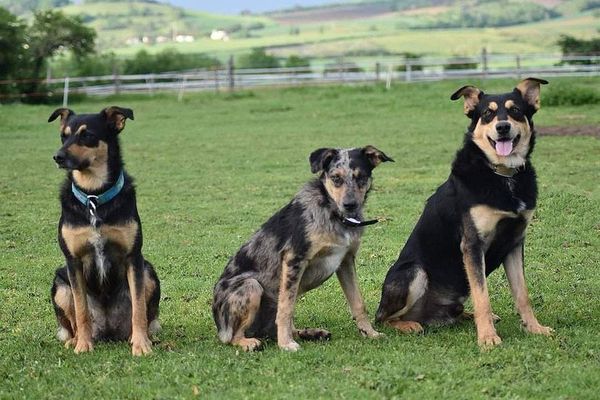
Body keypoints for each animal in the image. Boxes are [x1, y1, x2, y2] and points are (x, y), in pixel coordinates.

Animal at [212, 146, 394, 350]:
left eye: (361, 176)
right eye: (336, 177)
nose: (350, 205)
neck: (332, 213)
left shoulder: (345, 261)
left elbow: (358, 303)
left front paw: (370, 333)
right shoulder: (294, 259)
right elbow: (286, 309)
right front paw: (285, 345)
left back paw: (310, 333)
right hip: (251, 286)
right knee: (232, 337)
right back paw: (249, 342)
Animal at [376, 78, 552, 346]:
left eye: (515, 110)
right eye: (487, 113)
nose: (502, 127)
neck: (502, 175)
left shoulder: (514, 243)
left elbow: (523, 294)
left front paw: (534, 328)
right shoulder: (472, 245)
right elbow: (482, 296)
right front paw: (488, 338)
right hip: (413, 272)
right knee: (384, 319)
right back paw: (408, 324)